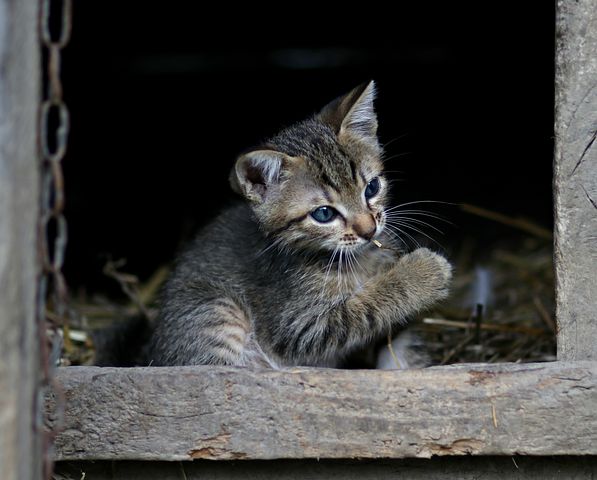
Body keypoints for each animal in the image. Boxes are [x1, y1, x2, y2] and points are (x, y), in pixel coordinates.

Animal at [149, 81, 452, 368]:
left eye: (372, 188)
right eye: (324, 214)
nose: (369, 231)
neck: (356, 258)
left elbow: (403, 344)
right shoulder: (298, 326)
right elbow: (360, 310)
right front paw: (422, 273)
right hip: (215, 309)